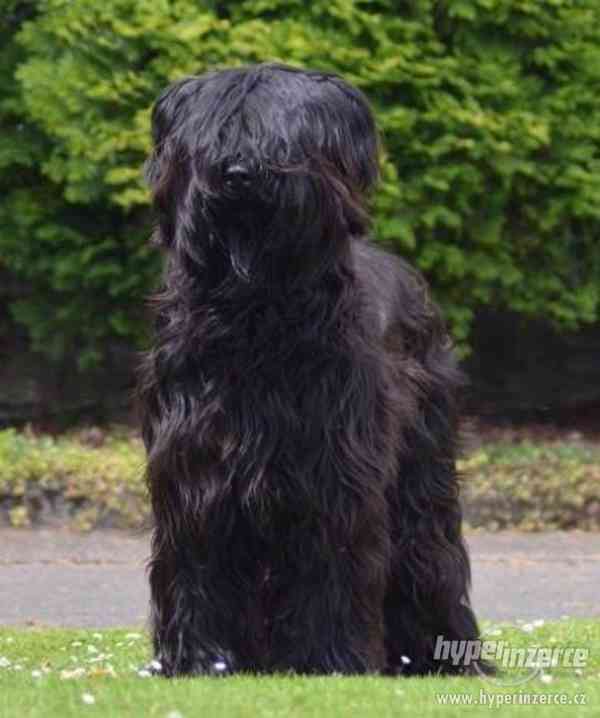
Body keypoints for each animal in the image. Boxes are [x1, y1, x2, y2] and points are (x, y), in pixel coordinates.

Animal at [139, 63, 487, 677]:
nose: (239, 174)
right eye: (217, 135)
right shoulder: (193, 467)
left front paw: (331, 658)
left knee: (427, 547)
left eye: (284, 139)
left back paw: (442, 653)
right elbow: (198, 557)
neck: (257, 315)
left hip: (423, 468)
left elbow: (333, 560)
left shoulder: (333, 469)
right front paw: (201, 661)